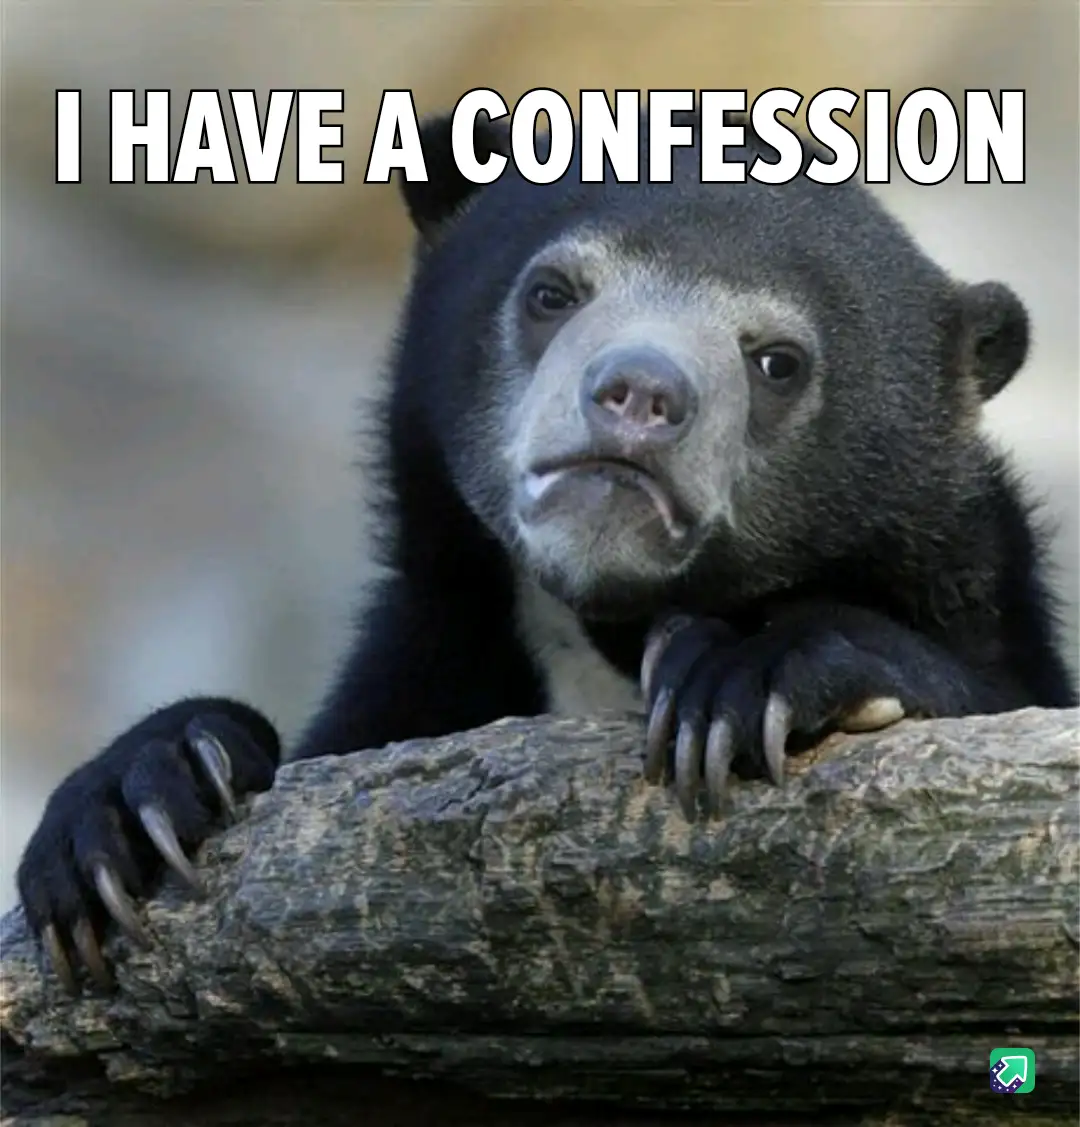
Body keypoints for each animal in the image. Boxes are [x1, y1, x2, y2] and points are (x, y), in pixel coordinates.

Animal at [15, 107, 1077, 994]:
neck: (603, 631)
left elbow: (993, 686)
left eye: (777, 361)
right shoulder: (438, 649)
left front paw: (741, 674)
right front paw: (131, 805)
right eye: (551, 292)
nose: (640, 394)